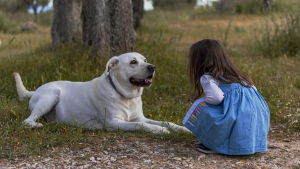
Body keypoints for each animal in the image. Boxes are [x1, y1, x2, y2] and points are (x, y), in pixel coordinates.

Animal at [14, 52, 189, 134]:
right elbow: (140, 125)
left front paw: (181, 128)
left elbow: (166, 122)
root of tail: (34, 91)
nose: (152, 67)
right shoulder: (114, 123)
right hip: (51, 96)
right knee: (27, 120)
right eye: (133, 62)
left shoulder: (141, 117)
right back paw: (35, 125)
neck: (126, 96)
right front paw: (159, 130)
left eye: (145, 60)